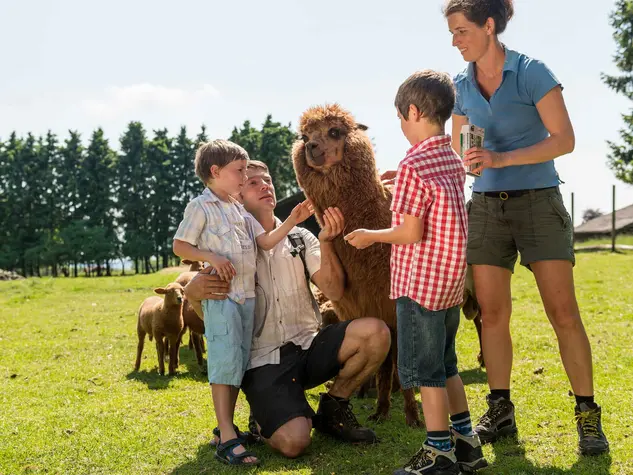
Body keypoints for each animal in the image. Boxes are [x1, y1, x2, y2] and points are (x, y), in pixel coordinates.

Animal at [292, 103, 420, 428]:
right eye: (304, 135)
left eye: (335, 131)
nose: (311, 147)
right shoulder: (364, 308)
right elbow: (385, 363)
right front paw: (380, 410)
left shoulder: (394, 306)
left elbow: (403, 362)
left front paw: (412, 417)